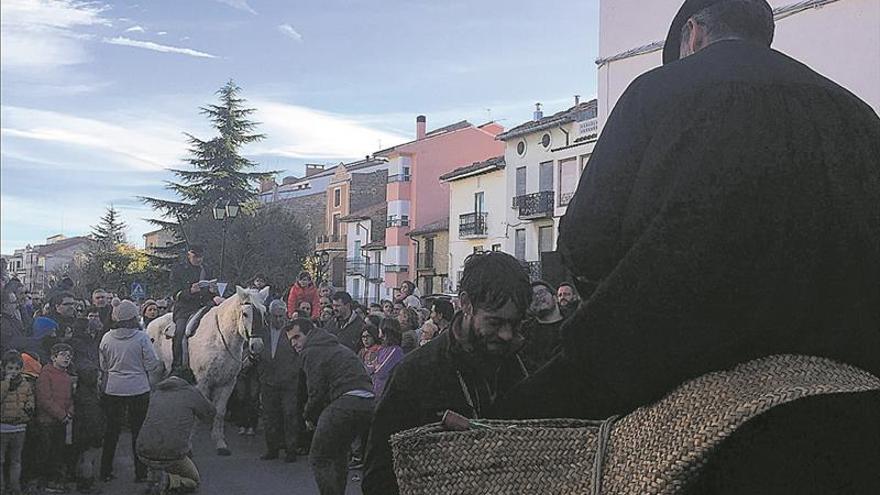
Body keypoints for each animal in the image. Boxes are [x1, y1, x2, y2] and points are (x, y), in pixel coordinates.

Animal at [148, 286, 266, 458]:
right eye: (245, 313)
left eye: (263, 313)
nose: (256, 347)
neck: (220, 338)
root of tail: (151, 323)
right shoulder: (202, 383)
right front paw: (189, 447)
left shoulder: (227, 384)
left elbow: (220, 412)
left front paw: (220, 444)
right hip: (154, 374)